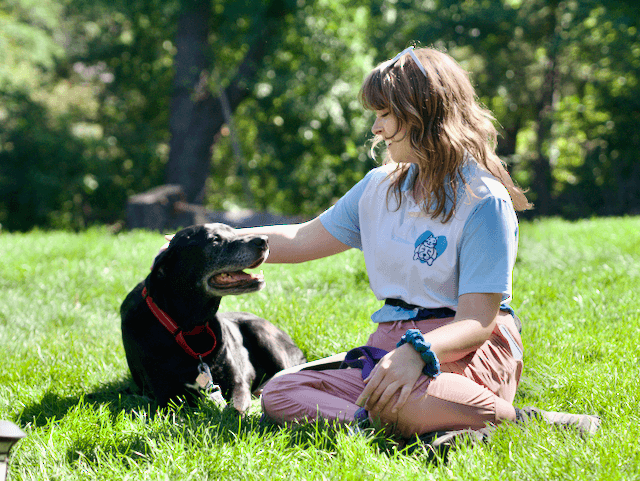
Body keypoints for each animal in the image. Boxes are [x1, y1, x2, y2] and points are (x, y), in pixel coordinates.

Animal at [123, 223, 310, 410]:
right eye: (215, 240)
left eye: (235, 233)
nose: (264, 240)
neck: (190, 328)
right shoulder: (166, 397)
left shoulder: (238, 382)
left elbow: (236, 408)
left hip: (261, 331)